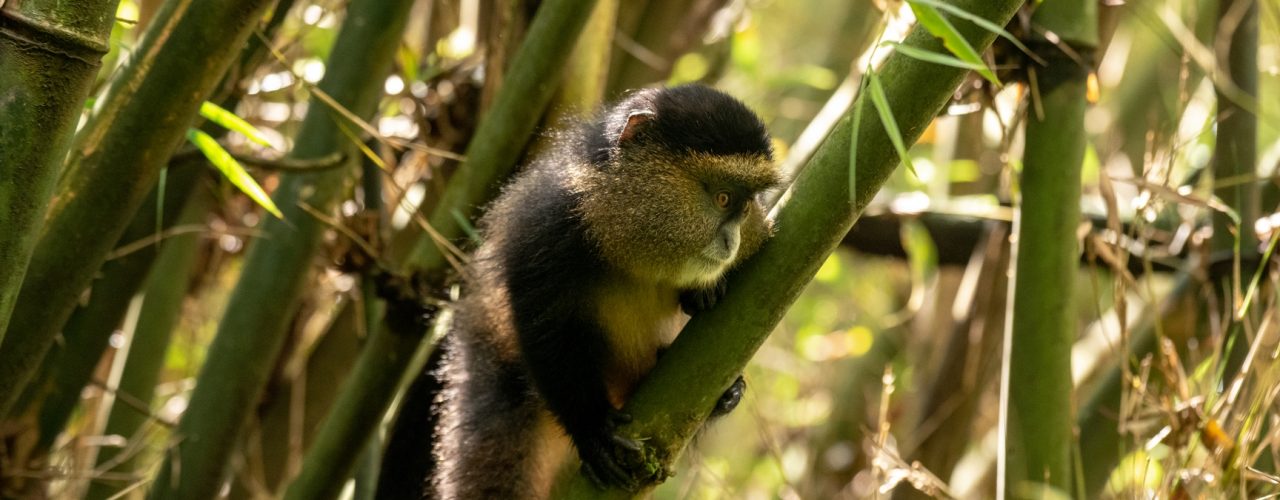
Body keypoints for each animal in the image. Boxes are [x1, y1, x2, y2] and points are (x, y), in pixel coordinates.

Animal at [385, 84, 779, 499]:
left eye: (747, 205)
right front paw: (592, 430)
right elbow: (547, 329)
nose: (732, 241)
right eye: (723, 198)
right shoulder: (548, 228)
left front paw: (703, 300)